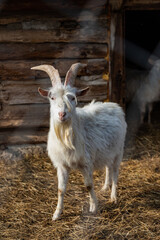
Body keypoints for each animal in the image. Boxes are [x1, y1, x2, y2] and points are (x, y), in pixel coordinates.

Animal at [31, 62, 126, 220]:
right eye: (52, 97)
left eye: (72, 98)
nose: (62, 114)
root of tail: (113, 105)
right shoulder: (62, 165)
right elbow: (60, 189)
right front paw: (56, 214)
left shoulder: (86, 162)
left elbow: (88, 185)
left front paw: (93, 207)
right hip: (107, 151)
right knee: (108, 167)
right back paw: (105, 187)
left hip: (119, 150)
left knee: (115, 172)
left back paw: (113, 197)